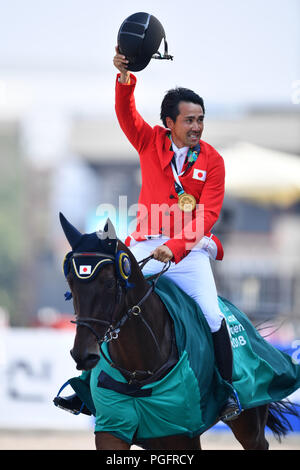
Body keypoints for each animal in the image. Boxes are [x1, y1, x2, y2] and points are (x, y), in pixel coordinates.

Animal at [59, 214, 298, 452]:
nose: (82, 355)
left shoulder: (182, 434)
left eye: (109, 283)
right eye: (71, 283)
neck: (137, 373)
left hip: (250, 424)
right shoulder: (114, 428)